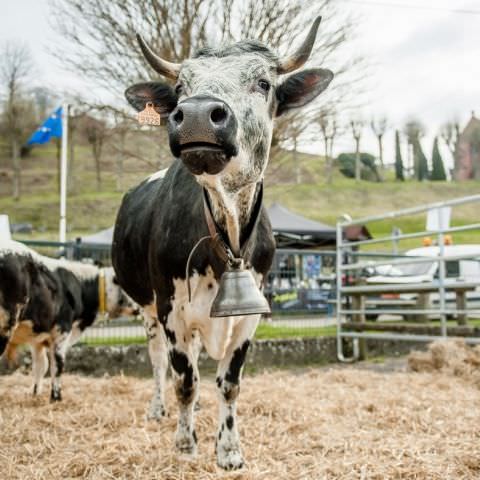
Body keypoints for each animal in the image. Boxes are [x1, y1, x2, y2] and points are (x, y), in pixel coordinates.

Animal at [0, 240, 135, 402]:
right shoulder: (62, 330)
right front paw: (56, 398)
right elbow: (57, 365)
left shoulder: (37, 338)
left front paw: (35, 395)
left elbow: (40, 366)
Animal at [111, 15, 334, 468]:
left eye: (264, 83)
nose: (196, 114)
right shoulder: (172, 311)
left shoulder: (249, 315)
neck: (226, 234)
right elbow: (184, 380)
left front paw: (229, 449)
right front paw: (185, 444)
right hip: (145, 306)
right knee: (161, 363)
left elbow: (228, 383)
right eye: (182, 87)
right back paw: (159, 410)